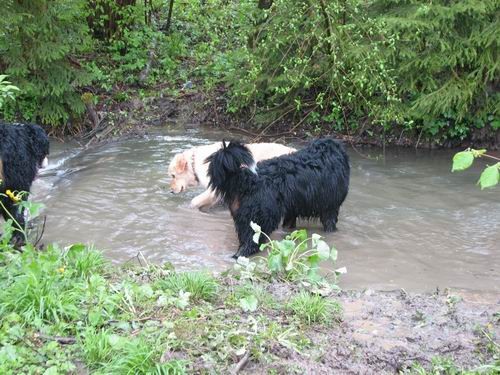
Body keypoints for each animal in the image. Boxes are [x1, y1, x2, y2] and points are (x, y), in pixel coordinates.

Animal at [205, 138, 350, 258]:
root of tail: (249, 179)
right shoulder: (330, 209)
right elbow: (330, 225)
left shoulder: (292, 210)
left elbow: (289, 224)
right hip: (261, 219)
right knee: (251, 242)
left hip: (244, 217)